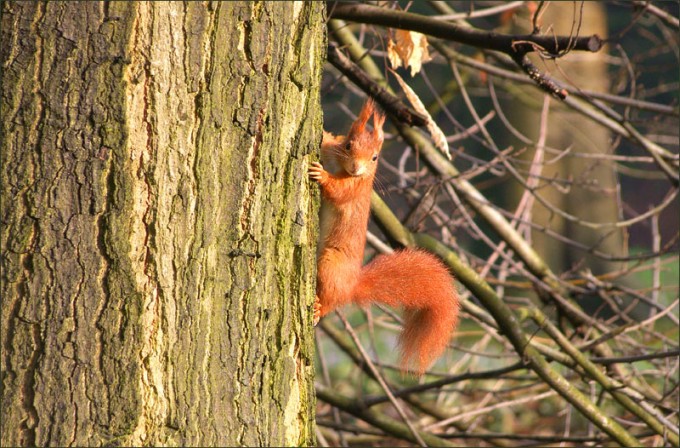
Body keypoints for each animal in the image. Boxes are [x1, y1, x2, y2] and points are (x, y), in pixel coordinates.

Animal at [308, 98, 460, 375]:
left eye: (375, 157)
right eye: (348, 145)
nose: (357, 168)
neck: (340, 166)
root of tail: (353, 284)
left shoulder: (356, 188)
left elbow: (339, 190)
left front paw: (322, 176)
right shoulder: (332, 150)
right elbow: (327, 140)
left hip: (331, 266)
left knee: (331, 300)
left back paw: (317, 307)